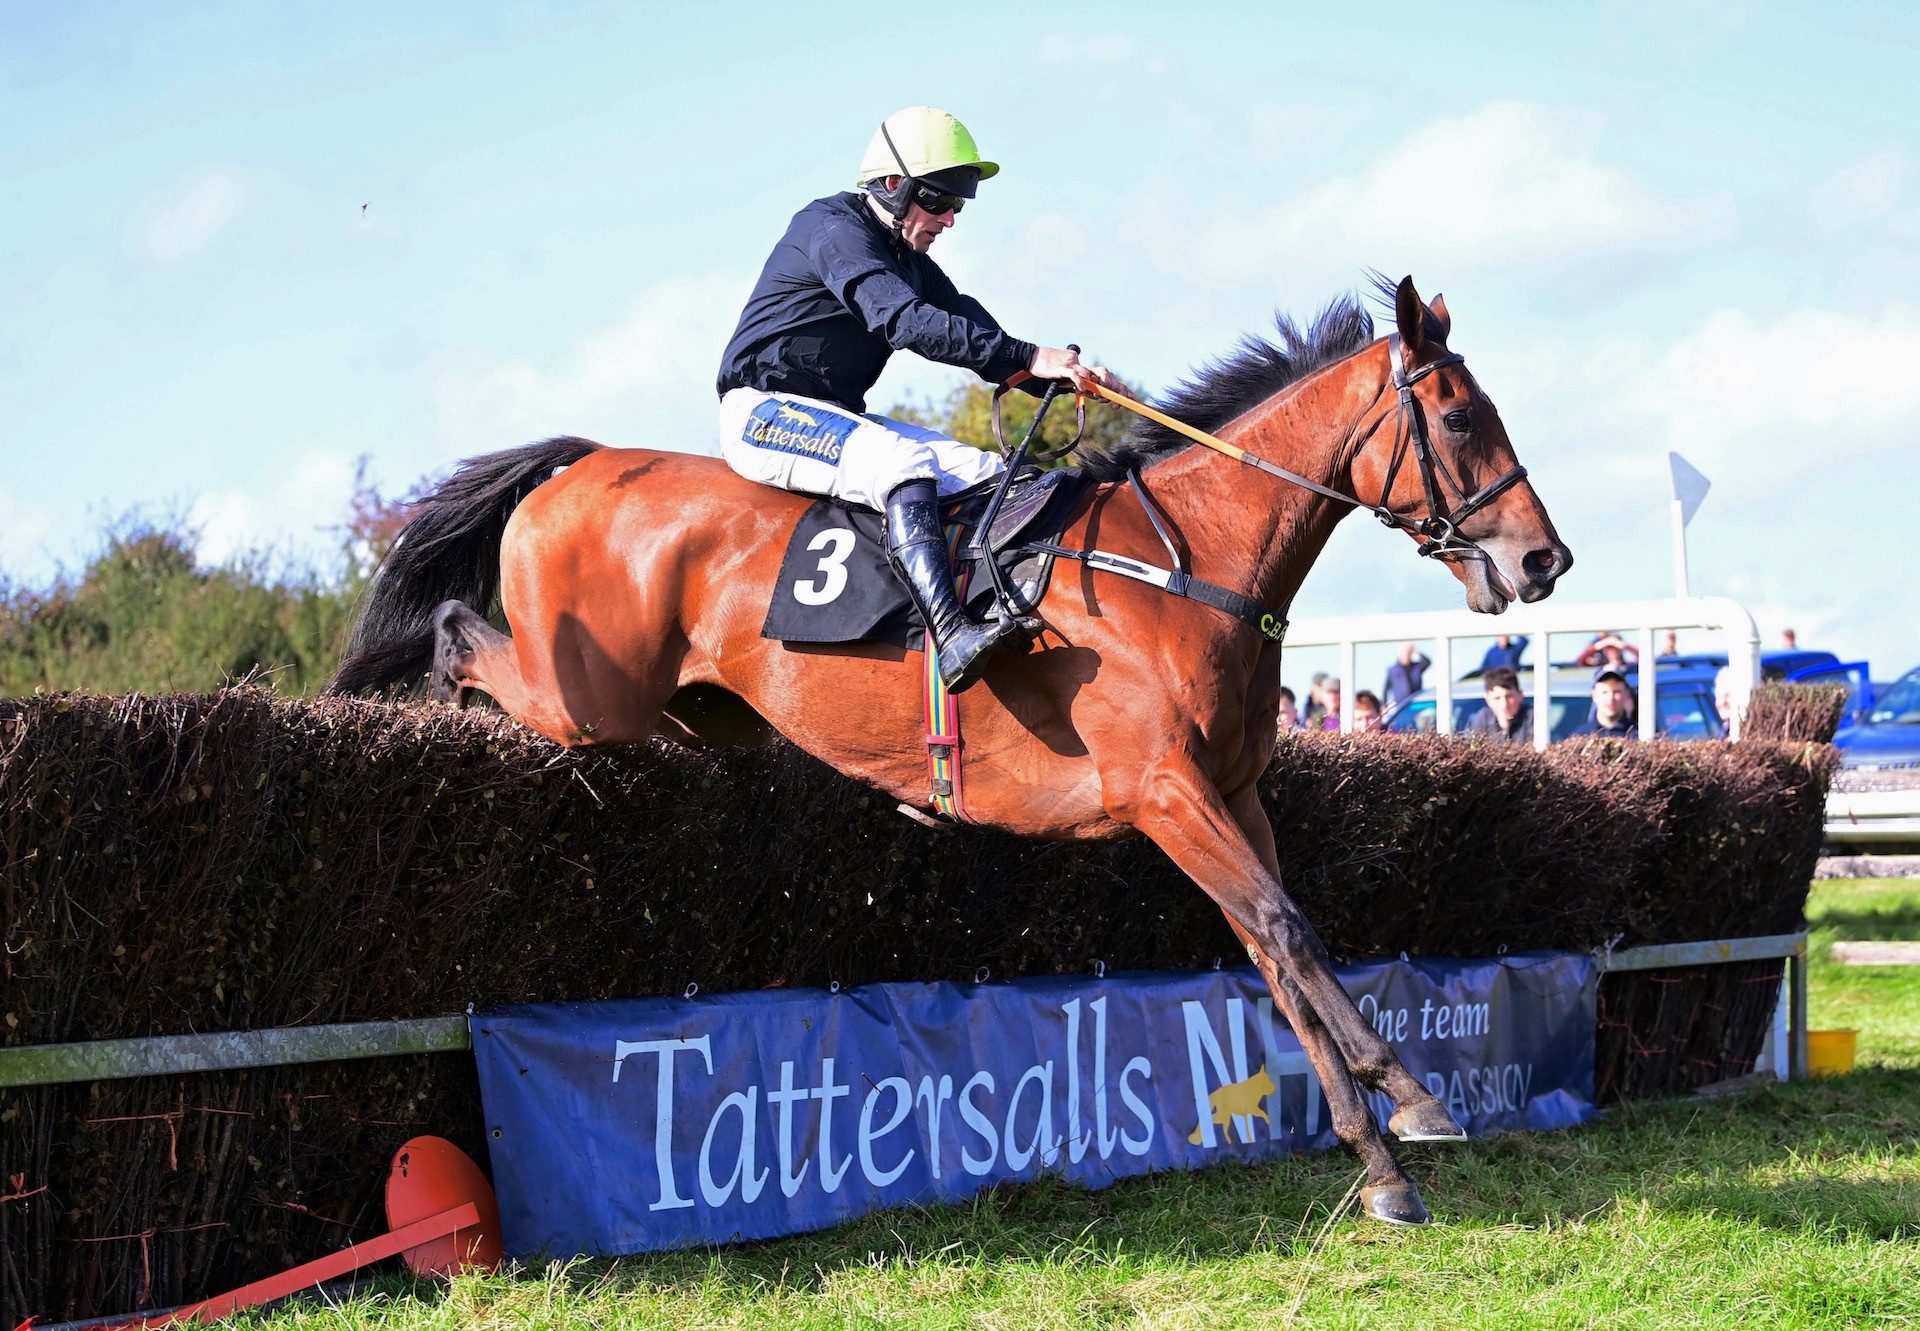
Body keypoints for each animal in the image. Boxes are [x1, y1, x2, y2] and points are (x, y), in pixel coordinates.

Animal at [334, 278, 1574, 1221]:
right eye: (1460, 419)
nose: (1543, 560)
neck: (1180, 566)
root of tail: (581, 464)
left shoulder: (1233, 793)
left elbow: (1279, 951)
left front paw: (1381, 1160)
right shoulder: (1163, 790)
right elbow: (1285, 927)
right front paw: (1412, 1100)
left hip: (693, 707)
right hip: (591, 693)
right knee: (461, 638)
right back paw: (431, 704)